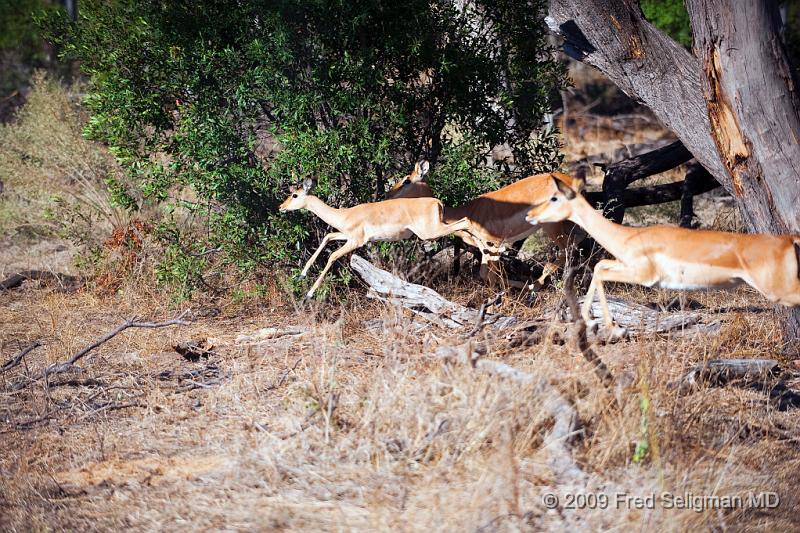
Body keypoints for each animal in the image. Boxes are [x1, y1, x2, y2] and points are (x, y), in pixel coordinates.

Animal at [278, 177, 472, 298]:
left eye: (295, 195)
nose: (281, 207)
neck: (345, 215)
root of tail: (437, 202)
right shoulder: (345, 235)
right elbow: (327, 236)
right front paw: (301, 275)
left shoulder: (355, 241)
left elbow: (332, 256)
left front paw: (309, 294)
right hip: (439, 228)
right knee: (464, 228)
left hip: (430, 232)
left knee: (466, 222)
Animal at [384, 160, 580, 286]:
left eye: (406, 180)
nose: (387, 195)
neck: (464, 212)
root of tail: (569, 180)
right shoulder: (484, 247)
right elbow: (487, 274)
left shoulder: (493, 244)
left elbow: (493, 276)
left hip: (552, 226)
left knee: (568, 250)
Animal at [524, 174, 800, 332]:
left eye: (554, 198)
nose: (529, 215)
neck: (628, 237)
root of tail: (786, 239)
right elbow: (600, 266)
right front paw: (590, 319)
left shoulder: (645, 277)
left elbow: (600, 271)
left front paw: (609, 325)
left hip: (778, 289)